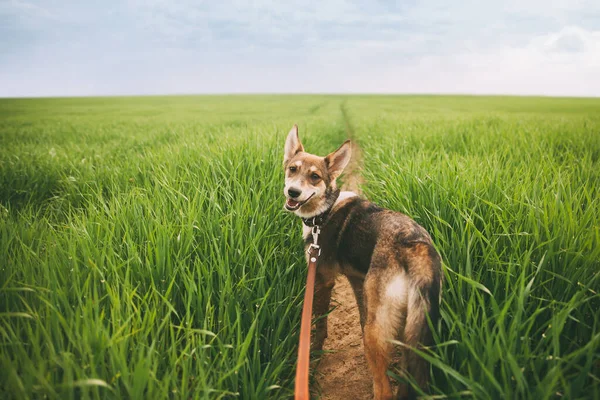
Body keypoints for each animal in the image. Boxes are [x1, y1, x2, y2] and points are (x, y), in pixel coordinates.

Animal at [284, 126, 442, 400]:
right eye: (292, 169)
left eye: (315, 177)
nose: (292, 192)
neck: (324, 210)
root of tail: (416, 246)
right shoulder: (358, 281)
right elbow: (359, 313)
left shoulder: (323, 279)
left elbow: (319, 325)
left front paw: (314, 355)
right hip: (410, 328)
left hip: (376, 333)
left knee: (384, 389)